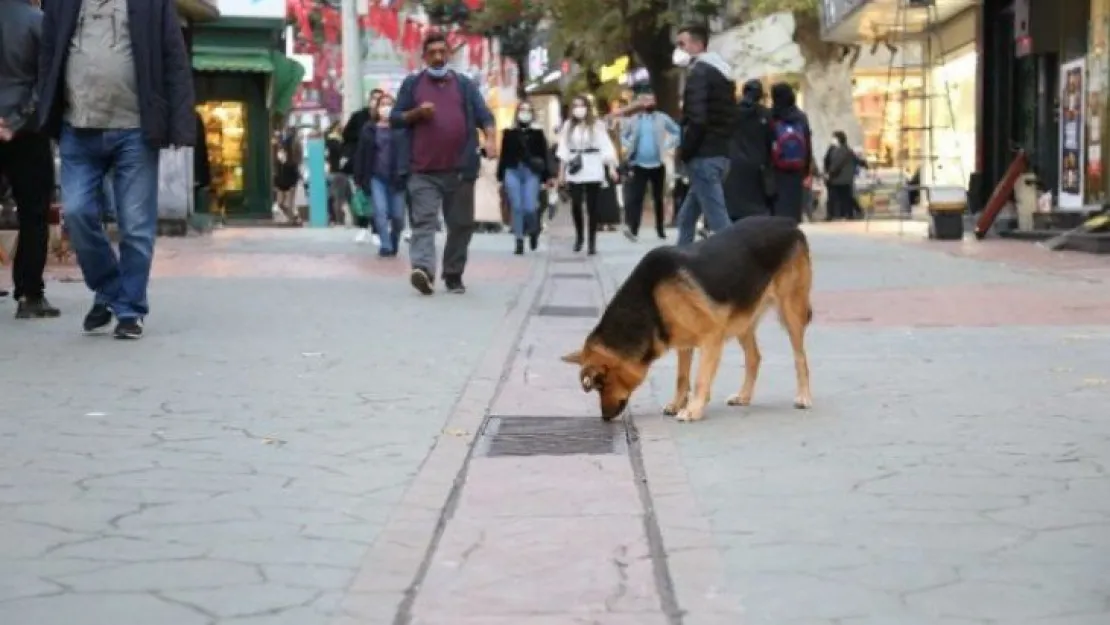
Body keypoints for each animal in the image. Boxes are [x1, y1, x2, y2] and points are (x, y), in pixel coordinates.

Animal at [563, 213, 816, 424]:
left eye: (600, 384)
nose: (604, 418)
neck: (651, 299)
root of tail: (789, 223)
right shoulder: (684, 344)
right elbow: (682, 378)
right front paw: (678, 404)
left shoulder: (711, 338)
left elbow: (700, 378)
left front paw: (693, 409)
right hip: (742, 319)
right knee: (754, 357)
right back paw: (744, 395)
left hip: (791, 312)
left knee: (800, 357)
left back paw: (804, 396)